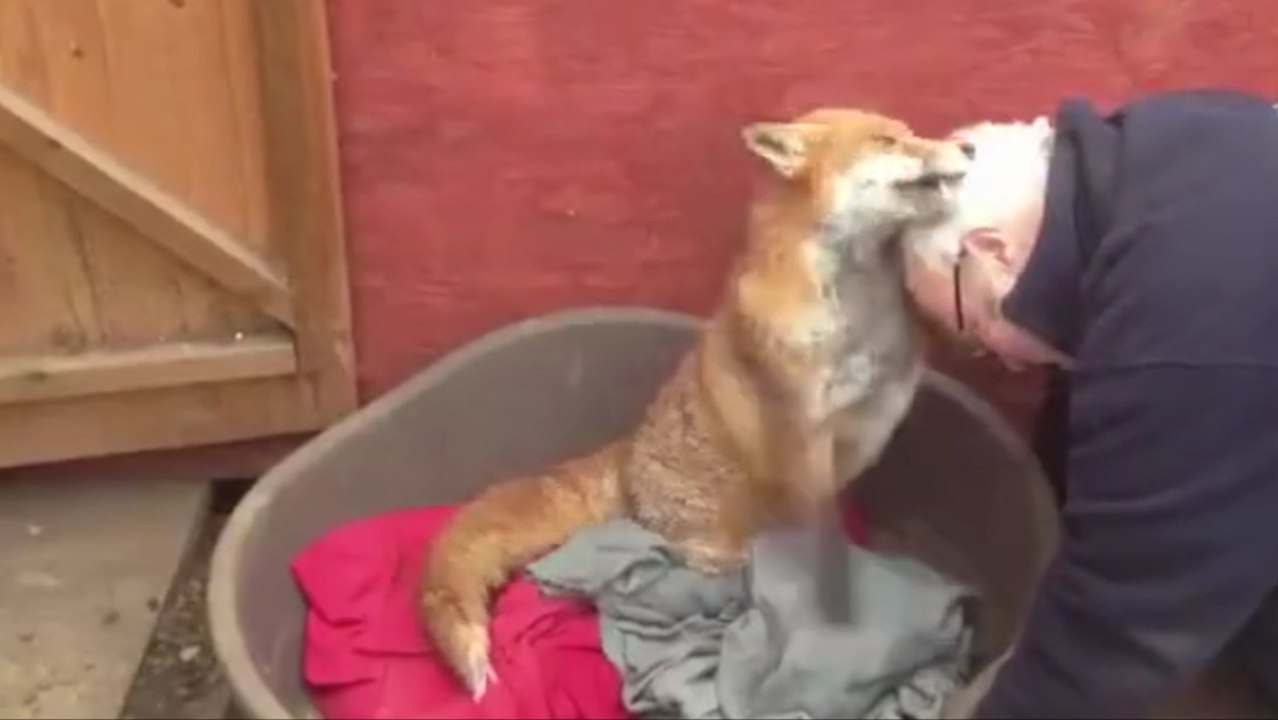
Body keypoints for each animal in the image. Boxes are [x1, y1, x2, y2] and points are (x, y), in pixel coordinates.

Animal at [419, 107, 974, 698]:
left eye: (908, 132)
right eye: (886, 140)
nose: (969, 149)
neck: (857, 311)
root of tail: (627, 453)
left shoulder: (881, 395)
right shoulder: (802, 435)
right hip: (718, 553)